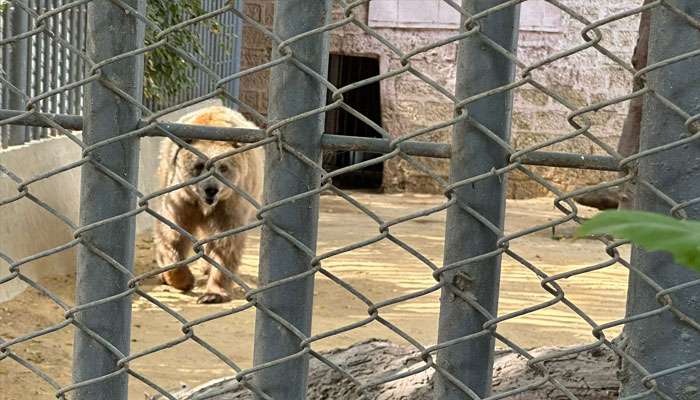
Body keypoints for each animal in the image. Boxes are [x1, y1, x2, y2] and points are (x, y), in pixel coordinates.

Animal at [154, 106, 264, 304]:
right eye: (199, 165)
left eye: (223, 167)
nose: (211, 189)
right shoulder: (181, 200)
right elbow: (173, 235)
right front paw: (183, 280)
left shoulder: (230, 204)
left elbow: (226, 243)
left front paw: (213, 294)